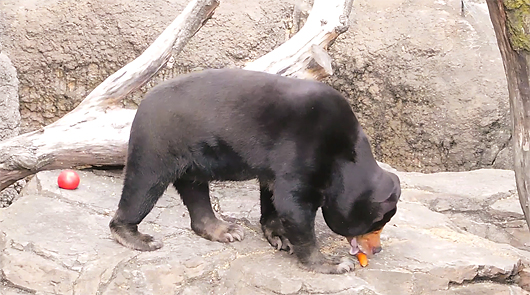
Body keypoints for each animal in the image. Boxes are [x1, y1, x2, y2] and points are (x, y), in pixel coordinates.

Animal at [111, 68, 400, 274]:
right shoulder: (304, 148)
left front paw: (280, 236)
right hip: (159, 142)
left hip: (193, 155)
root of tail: (141, 103)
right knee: (143, 185)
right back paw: (136, 237)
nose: (377, 250)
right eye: (377, 225)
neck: (345, 159)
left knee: (194, 189)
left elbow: (272, 194)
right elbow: (293, 203)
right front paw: (335, 263)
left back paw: (225, 230)